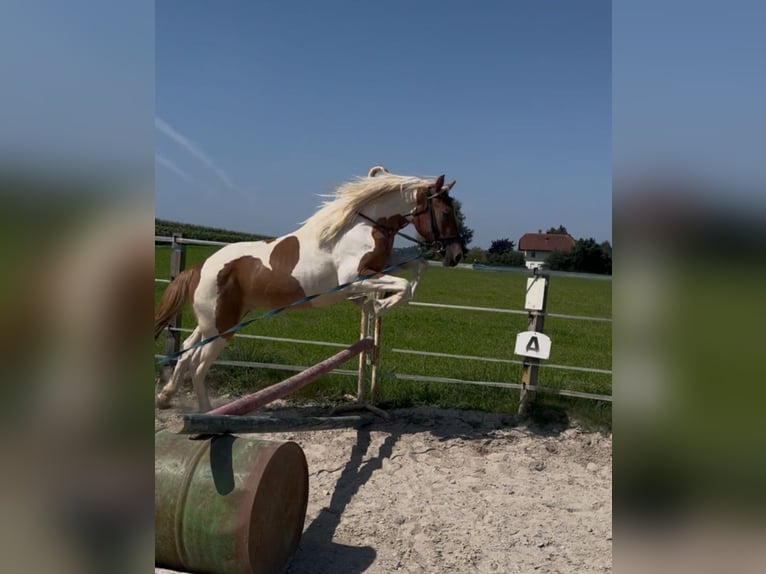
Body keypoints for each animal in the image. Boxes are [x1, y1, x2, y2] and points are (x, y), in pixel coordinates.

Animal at [154, 166, 463, 412]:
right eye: (446, 212)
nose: (456, 255)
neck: (362, 226)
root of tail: (199, 267)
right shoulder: (355, 276)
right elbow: (403, 286)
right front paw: (378, 304)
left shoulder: (382, 266)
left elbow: (417, 269)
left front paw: (375, 303)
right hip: (222, 327)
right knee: (198, 364)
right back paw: (205, 415)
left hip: (213, 322)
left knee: (187, 350)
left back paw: (166, 397)